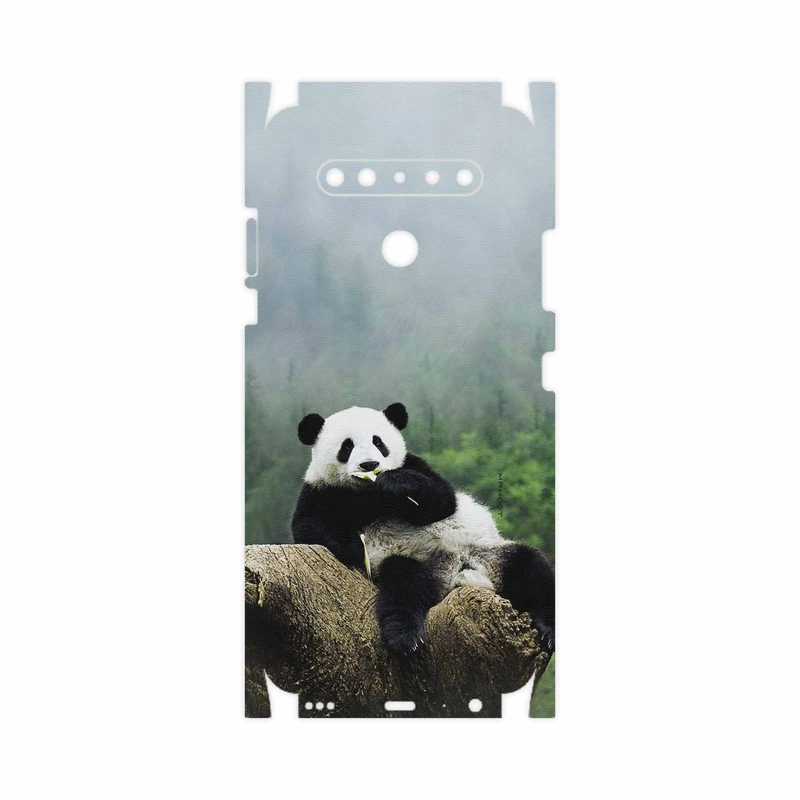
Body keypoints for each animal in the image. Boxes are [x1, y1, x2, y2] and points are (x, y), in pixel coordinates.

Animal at [292, 403, 555, 655]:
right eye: (347, 446)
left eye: (378, 442)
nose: (370, 464)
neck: (368, 493)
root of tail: (456, 574)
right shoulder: (321, 490)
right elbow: (309, 526)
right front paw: (356, 547)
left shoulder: (414, 464)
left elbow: (442, 500)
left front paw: (395, 483)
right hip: (411, 561)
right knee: (404, 587)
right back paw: (405, 637)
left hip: (489, 553)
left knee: (531, 568)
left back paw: (548, 628)